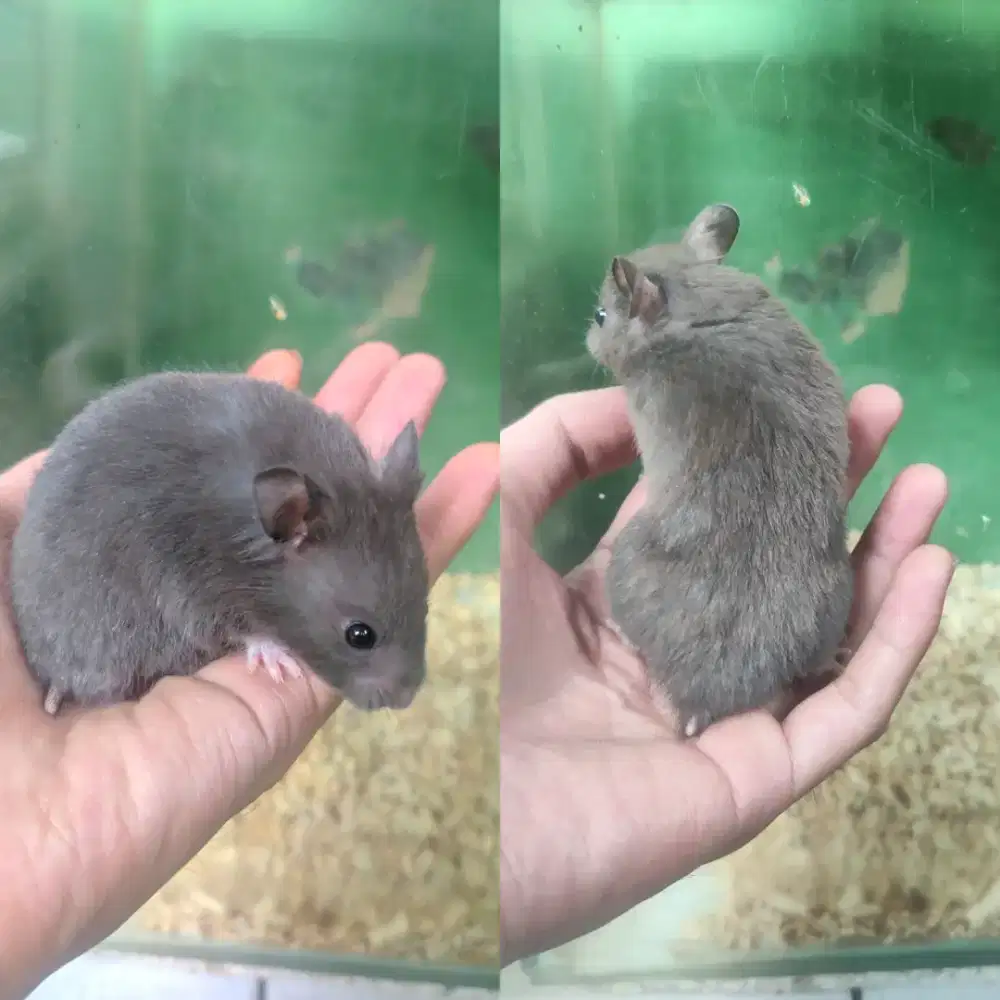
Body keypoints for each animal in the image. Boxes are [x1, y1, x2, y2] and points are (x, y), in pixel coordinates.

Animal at [10, 371, 429, 715]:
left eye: (424, 602)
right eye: (360, 636)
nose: (407, 700)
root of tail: (51, 677)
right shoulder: (191, 593)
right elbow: (245, 632)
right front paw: (280, 662)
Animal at [585, 204, 853, 737]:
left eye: (603, 315)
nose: (586, 340)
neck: (689, 309)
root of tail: (700, 702)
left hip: (622, 557)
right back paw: (836, 659)